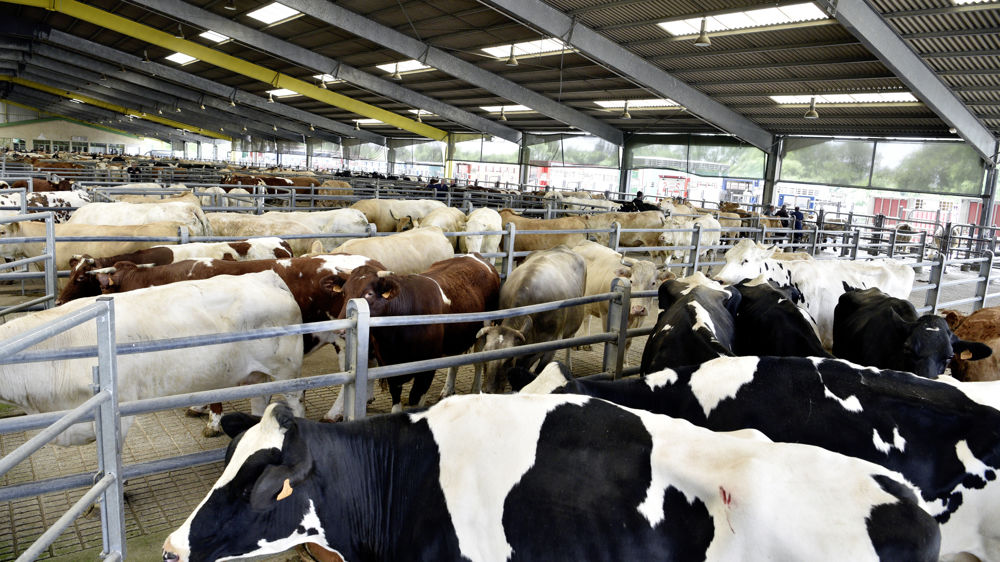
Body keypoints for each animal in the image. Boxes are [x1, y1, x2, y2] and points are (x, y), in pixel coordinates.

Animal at [0, 271, 303, 442]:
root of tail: (266, 276)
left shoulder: (117, 410)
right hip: (258, 374)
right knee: (259, 401)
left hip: (287, 371)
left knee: (296, 403)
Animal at [329, 254, 501, 413]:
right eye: (344, 292)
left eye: (369, 293)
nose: (339, 329)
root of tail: (475, 256)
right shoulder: (389, 366)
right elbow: (396, 401)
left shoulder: (427, 369)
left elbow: (415, 399)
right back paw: (447, 389)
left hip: (484, 329)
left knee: (479, 361)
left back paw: (476, 390)